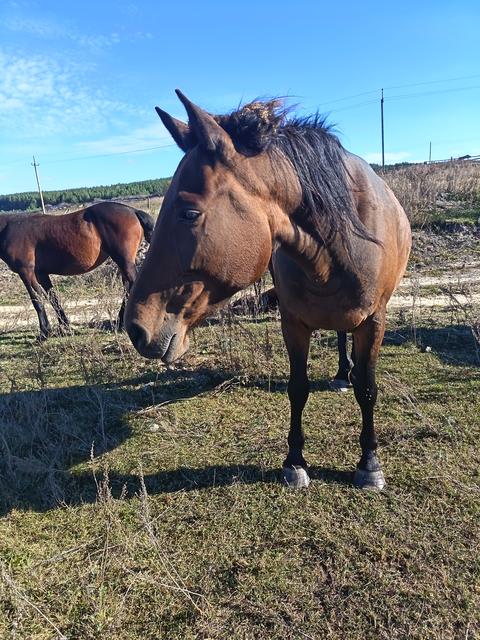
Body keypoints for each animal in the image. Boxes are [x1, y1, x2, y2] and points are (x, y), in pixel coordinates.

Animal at [0, 202, 154, 339]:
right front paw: (64, 326)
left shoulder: (26, 272)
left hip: (124, 260)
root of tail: (133, 211)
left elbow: (36, 300)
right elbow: (53, 299)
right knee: (127, 288)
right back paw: (120, 323)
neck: (8, 229)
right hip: (122, 262)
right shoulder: (41, 273)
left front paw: (44, 333)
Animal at [125, 91, 411, 490]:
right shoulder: (292, 322)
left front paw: (369, 464)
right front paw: (295, 462)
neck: (338, 247)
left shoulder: (373, 321)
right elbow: (298, 388)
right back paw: (342, 373)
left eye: (188, 213)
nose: (135, 328)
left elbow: (367, 389)